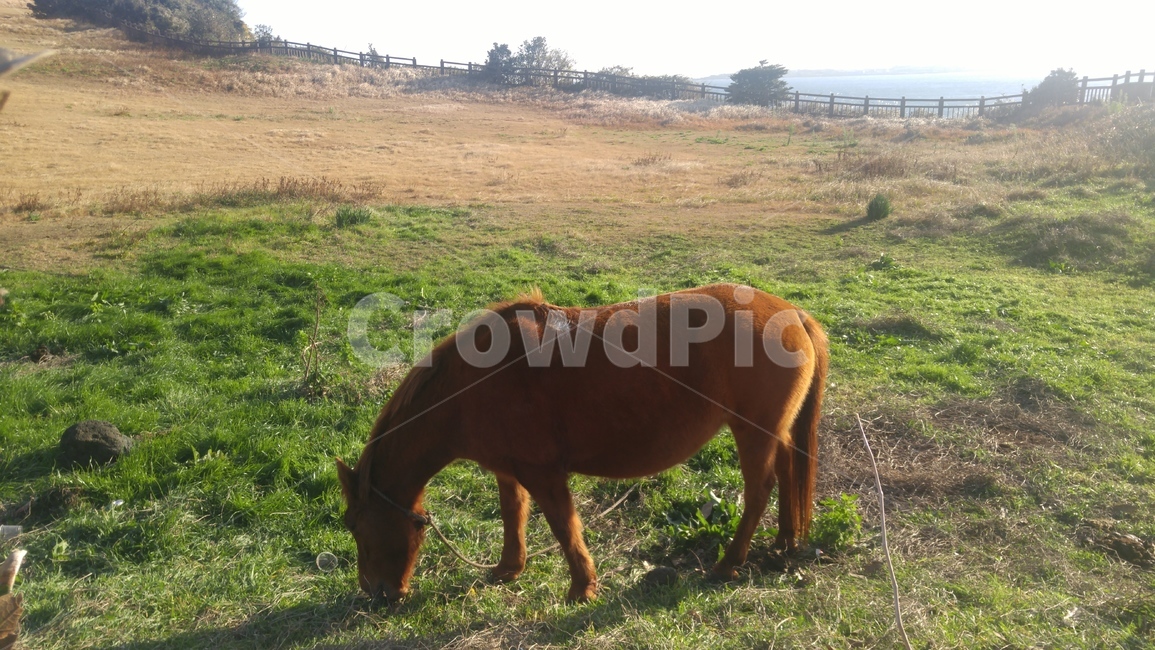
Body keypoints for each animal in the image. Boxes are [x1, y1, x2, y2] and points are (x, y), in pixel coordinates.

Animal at [337, 283, 828, 603]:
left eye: (355, 526)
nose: (377, 594)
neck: (475, 382)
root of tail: (794, 314)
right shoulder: (508, 471)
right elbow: (513, 516)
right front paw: (508, 569)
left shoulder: (543, 473)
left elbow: (564, 527)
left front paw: (582, 587)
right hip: (773, 431)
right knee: (787, 472)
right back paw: (784, 543)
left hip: (752, 432)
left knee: (759, 490)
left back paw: (729, 562)